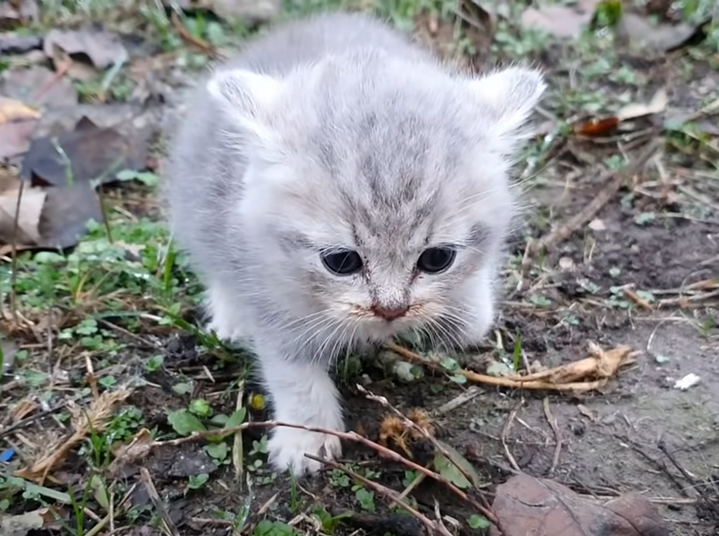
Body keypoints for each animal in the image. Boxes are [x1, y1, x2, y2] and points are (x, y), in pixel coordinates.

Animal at [167, 10, 544, 476]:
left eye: (437, 259)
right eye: (342, 262)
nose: (391, 310)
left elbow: (475, 318)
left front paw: (463, 306)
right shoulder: (269, 293)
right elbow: (293, 372)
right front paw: (306, 438)